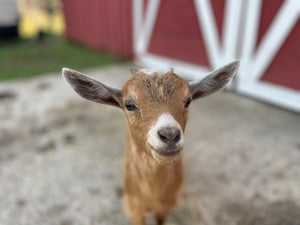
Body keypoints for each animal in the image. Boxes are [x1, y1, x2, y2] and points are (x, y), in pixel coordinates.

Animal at [62, 60, 239, 225]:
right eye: (129, 104)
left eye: (188, 101)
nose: (170, 135)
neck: (152, 195)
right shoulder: (135, 209)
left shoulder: (165, 206)